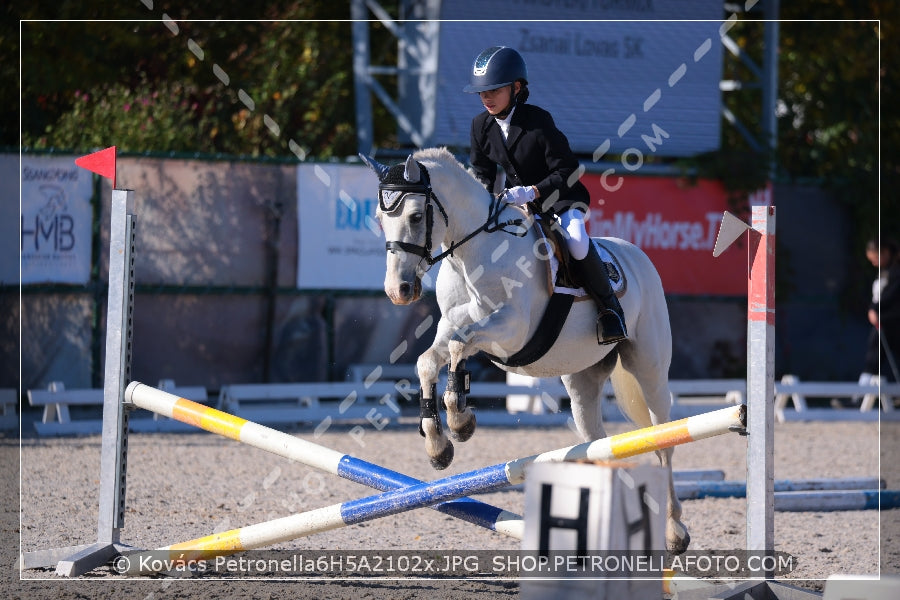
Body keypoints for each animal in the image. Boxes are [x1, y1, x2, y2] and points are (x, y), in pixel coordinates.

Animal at [362, 149, 684, 552]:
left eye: (416, 216)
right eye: (380, 219)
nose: (399, 291)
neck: (473, 254)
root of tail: (636, 255)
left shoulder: (511, 330)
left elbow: (459, 347)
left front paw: (460, 420)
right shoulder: (451, 323)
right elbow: (429, 360)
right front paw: (439, 445)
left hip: (649, 369)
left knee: (663, 439)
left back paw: (674, 532)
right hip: (582, 380)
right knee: (597, 442)